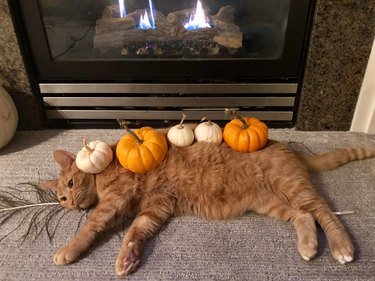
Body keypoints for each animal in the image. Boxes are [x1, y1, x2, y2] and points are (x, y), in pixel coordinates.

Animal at [41, 136, 375, 276]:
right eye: (61, 198)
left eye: (70, 184)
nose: (70, 203)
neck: (105, 166)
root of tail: (287, 147)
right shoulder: (157, 207)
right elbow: (136, 231)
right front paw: (129, 257)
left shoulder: (115, 201)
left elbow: (90, 226)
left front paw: (67, 250)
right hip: (271, 203)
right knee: (304, 215)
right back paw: (308, 246)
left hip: (291, 187)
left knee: (324, 211)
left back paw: (342, 246)